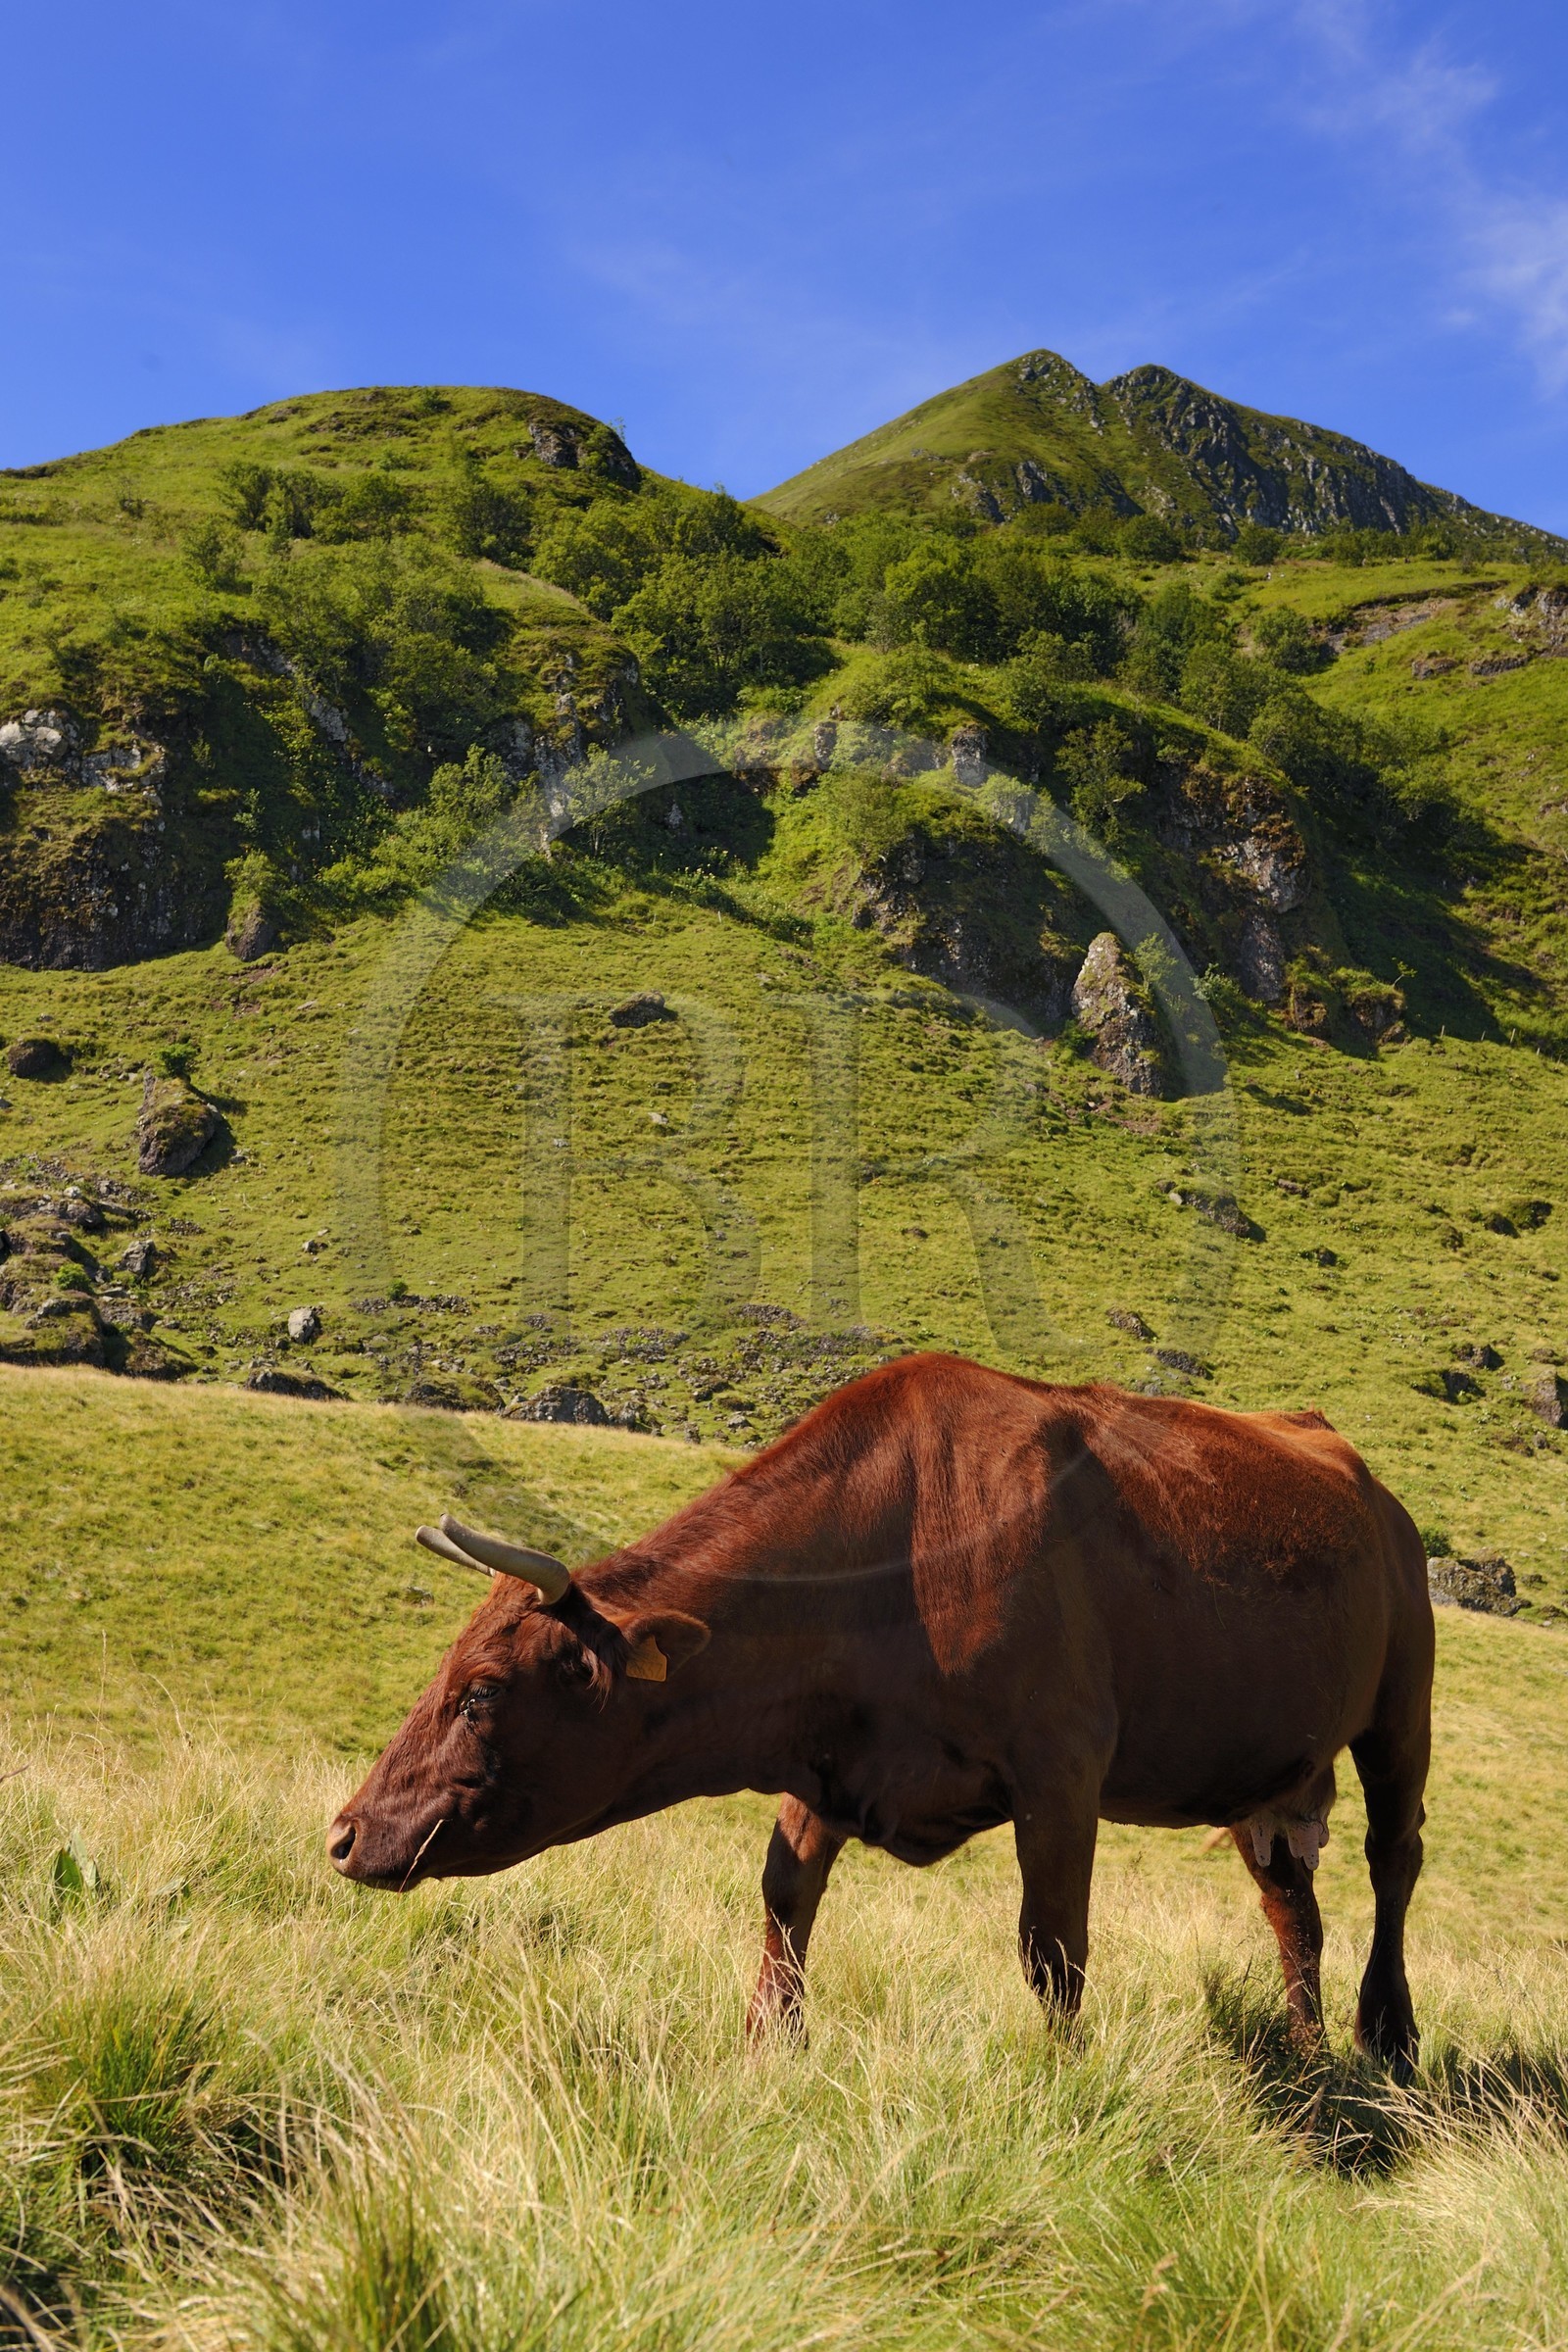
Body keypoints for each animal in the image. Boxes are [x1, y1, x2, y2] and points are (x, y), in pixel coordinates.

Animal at [328, 1352, 1434, 2075]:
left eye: (481, 1691)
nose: (342, 1834)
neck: (898, 1544)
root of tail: (1336, 1447)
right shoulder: (825, 1759)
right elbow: (784, 1899)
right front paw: (770, 2051)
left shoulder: (1061, 1766)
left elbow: (1052, 1948)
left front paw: (1065, 2082)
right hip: (1267, 1767)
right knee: (1291, 1905)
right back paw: (1305, 2052)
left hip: (1401, 1705)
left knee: (1393, 1861)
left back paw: (1387, 2037)